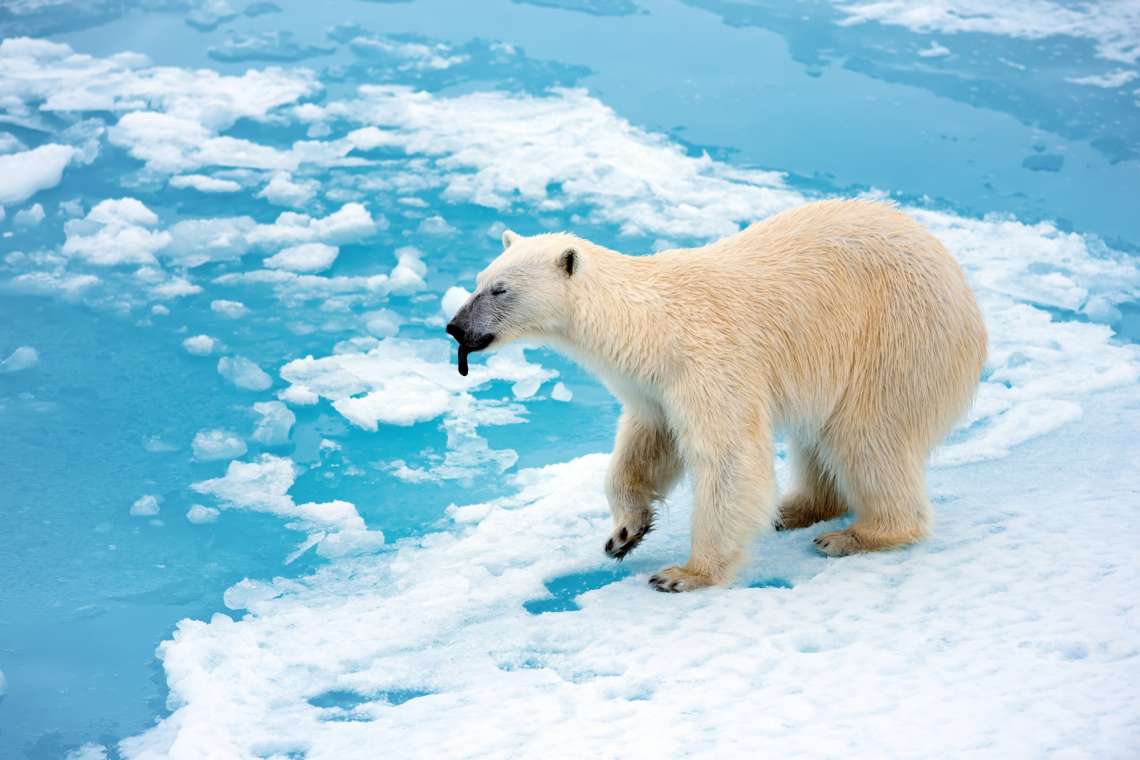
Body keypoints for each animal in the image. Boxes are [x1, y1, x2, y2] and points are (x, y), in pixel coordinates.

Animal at [444, 199, 989, 592]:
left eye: (499, 289)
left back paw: (856, 534)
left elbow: (729, 457)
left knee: (867, 435)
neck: (650, 323)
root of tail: (966, 295)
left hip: (896, 340)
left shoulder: (708, 361)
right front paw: (624, 533)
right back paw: (794, 509)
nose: (454, 327)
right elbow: (647, 443)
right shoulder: (656, 383)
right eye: (478, 281)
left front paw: (684, 574)